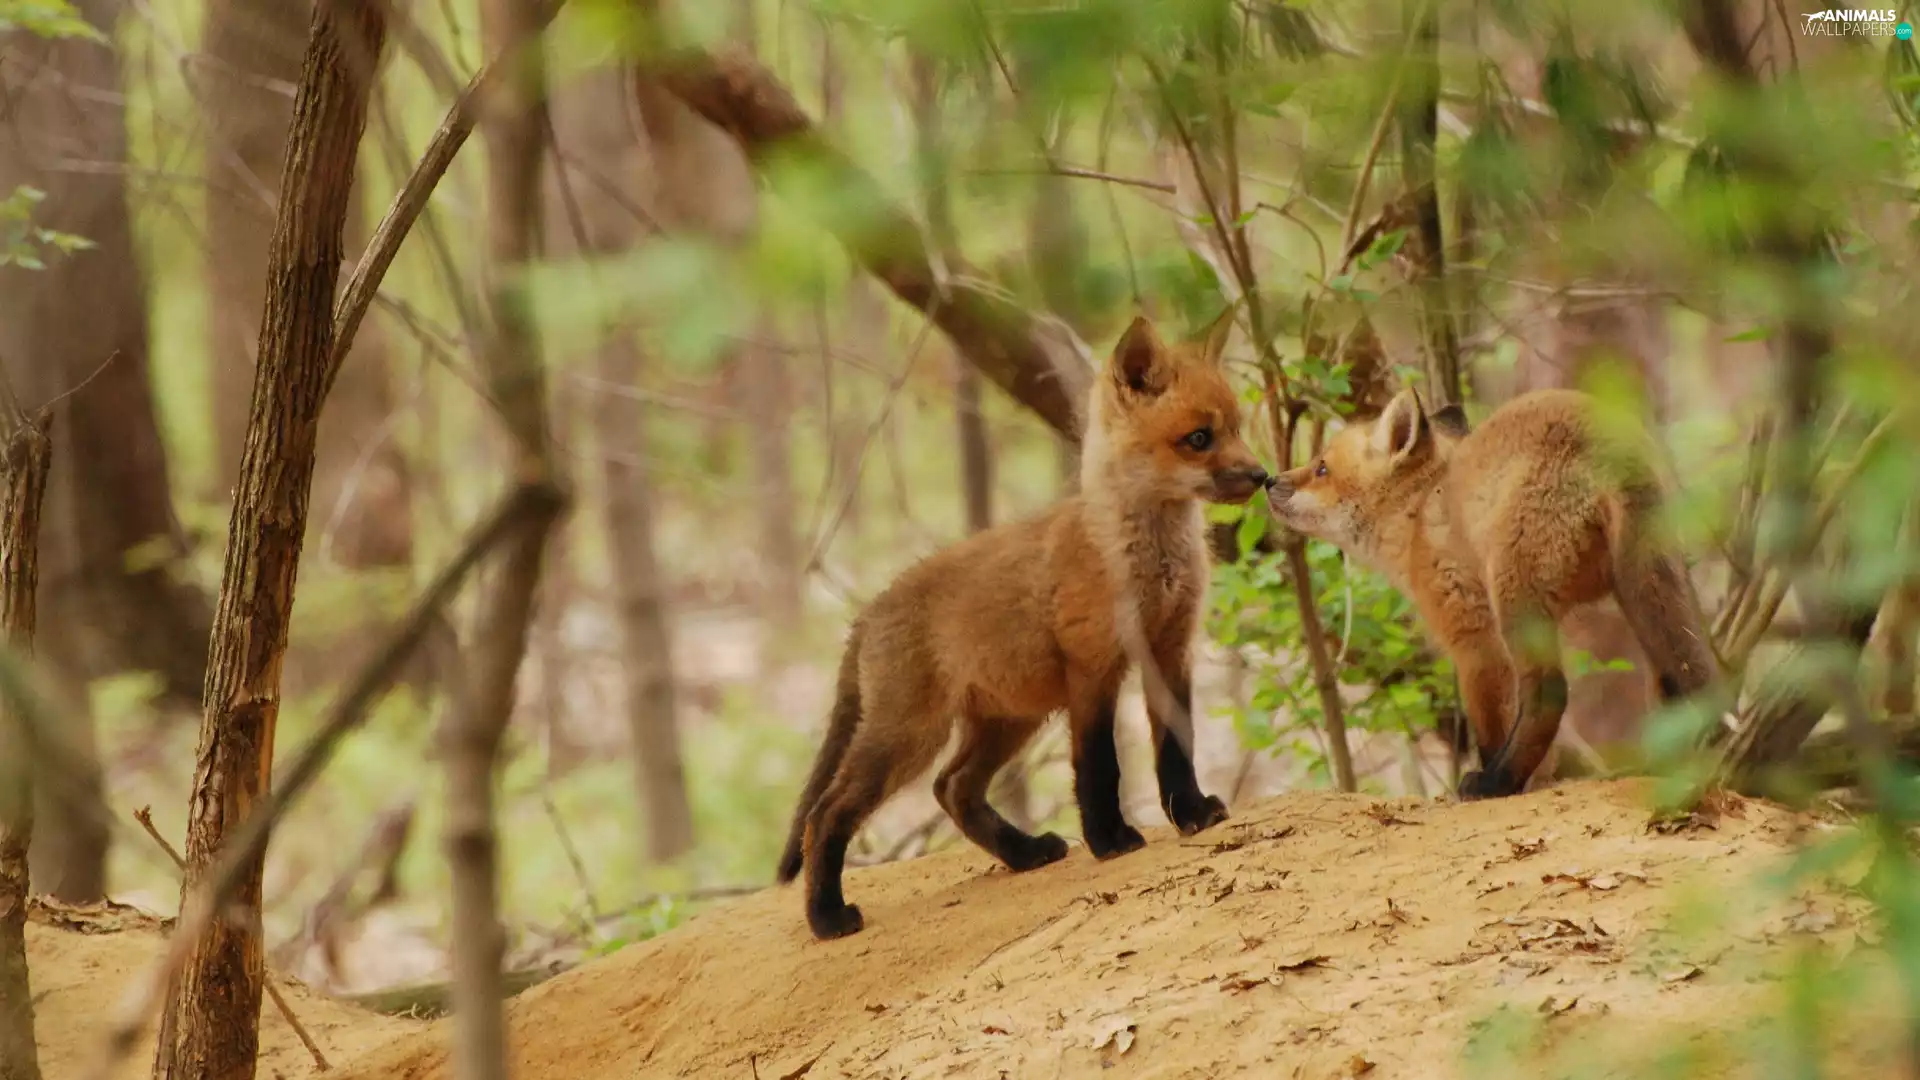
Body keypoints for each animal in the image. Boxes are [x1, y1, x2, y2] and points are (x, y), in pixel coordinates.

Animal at [775, 309, 1270, 940]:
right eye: (1200, 439)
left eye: (1236, 428)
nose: (1262, 475)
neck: (1147, 557)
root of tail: (865, 613)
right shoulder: (1093, 665)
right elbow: (1099, 767)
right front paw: (1109, 840)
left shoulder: (1170, 651)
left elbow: (1176, 750)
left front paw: (1191, 814)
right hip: (912, 734)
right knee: (827, 811)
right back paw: (826, 916)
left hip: (1009, 720)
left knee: (952, 788)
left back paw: (1025, 853)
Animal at [1265, 386, 1717, 799]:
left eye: (1322, 468)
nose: (1268, 480)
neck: (1419, 515)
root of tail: (1609, 441)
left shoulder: (1472, 633)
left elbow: (1489, 725)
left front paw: (1502, 781)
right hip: (1650, 586)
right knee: (1684, 678)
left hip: (1516, 596)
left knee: (1550, 692)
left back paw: (1495, 782)